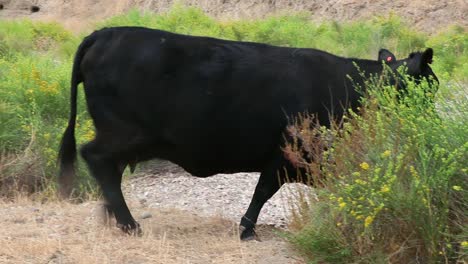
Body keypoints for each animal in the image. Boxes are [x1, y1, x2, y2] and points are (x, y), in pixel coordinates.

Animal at [57, 26, 436, 239]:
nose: (433, 115)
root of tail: (104, 33)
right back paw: (129, 224)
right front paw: (247, 229)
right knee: (96, 158)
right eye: (429, 85)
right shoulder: (286, 152)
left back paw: (112, 216)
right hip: (125, 133)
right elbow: (263, 190)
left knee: (110, 169)